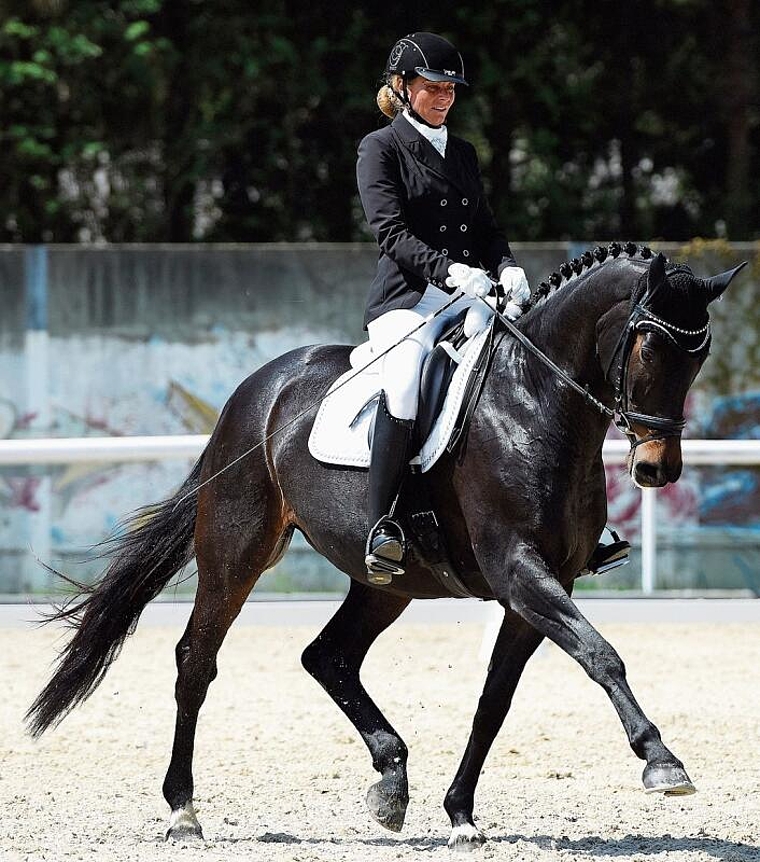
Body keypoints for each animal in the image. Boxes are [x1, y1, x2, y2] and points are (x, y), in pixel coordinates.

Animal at [26, 245, 744, 852]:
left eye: (698, 356)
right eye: (648, 347)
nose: (656, 469)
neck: (532, 404)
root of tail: (258, 390)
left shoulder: (540, 587)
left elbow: (495, 701)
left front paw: (460, 814)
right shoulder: (519, 572)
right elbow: (602, 656)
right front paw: (662, 761)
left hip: (386, 583)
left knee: (328, 657)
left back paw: (392, 779)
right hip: (236, 552)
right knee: (196, 662)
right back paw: (183, 811)